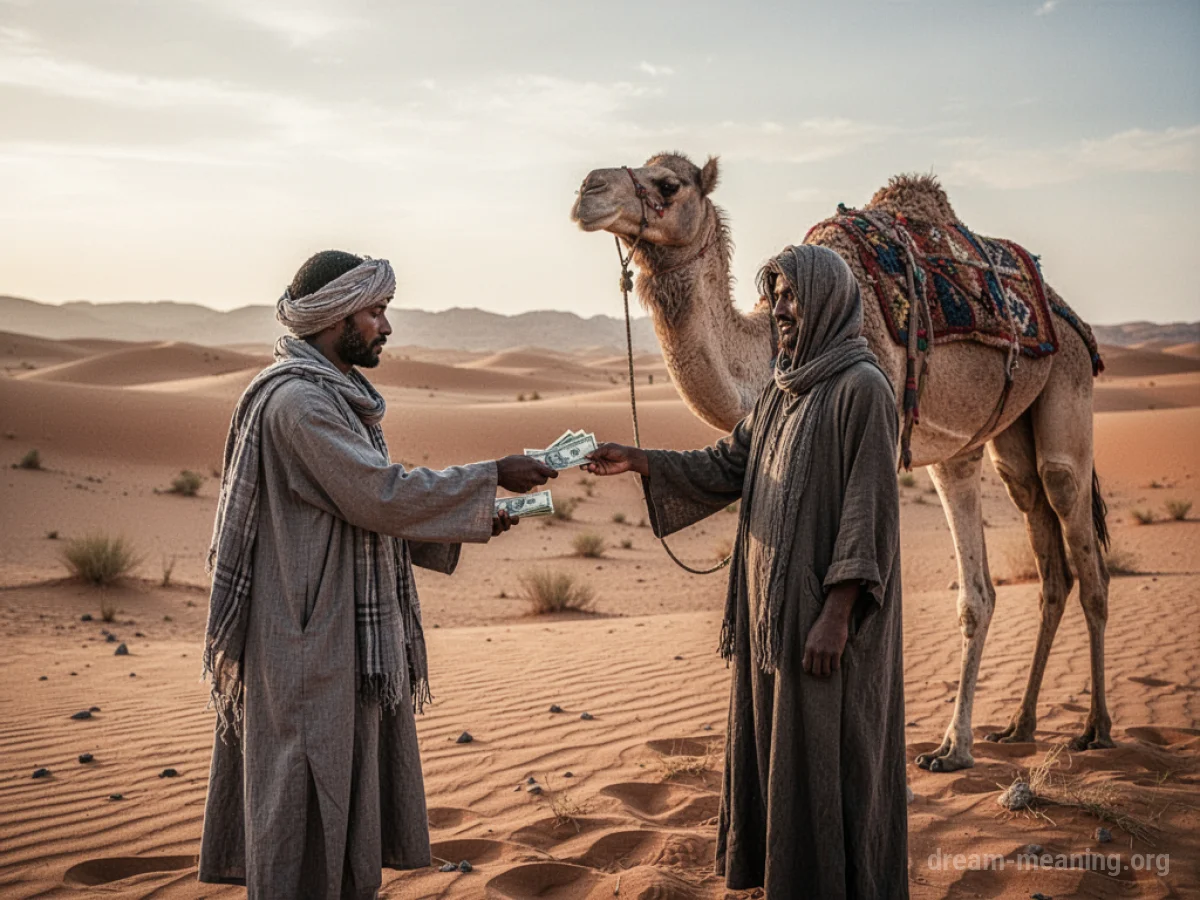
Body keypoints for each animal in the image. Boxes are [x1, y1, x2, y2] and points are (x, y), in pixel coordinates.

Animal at [570, 152, 1112, 772]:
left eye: (668, 184)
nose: (589, 189)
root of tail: (1068, 316)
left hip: (1068, 384)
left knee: (1080, 541)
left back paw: (1094, 729)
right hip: (989, 445)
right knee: (1031, 568)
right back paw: (1009, 728)